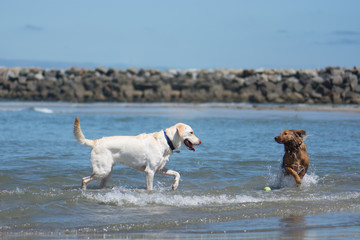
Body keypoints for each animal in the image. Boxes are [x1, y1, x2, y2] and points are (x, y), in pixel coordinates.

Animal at [74, 117, 202, 190]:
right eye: (191, 132)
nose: (201, 141)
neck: (167, 140)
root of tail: (96, 142)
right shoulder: (150, 171)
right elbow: (150, 188)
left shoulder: (159, 168)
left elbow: (177, 173)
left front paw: (175, 185)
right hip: (103, 171)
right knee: (84, 179)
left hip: (107, 173)